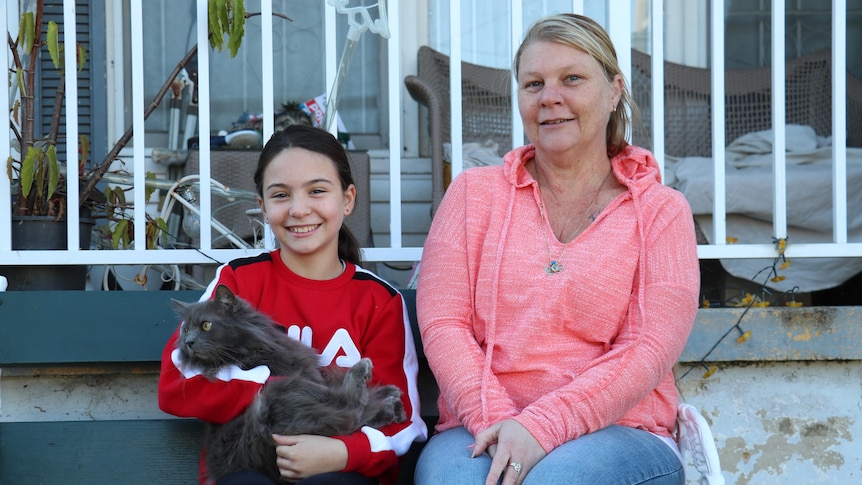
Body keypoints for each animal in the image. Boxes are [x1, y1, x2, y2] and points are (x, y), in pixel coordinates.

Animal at [174, 284, 410, 480]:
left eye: (206, 325)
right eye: (186, 329)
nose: (188, 342)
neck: (245, 350)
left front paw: (389, 392)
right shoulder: (299, 377)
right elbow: (342, 398)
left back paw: (393, 404)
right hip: (277, 393)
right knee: (350, 414)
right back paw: (371, 380)